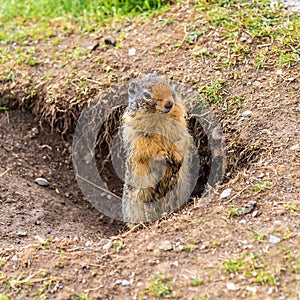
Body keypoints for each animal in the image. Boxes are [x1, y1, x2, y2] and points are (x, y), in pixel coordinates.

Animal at [122, 72, 195, 223]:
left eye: (168, 85)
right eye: (146, 94)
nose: (169, 103)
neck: (159, 117)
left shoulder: (179, 128)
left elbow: (179, 142)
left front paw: (177, 157)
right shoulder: (141, 137)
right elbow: (147, 149)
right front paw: (162, 156)